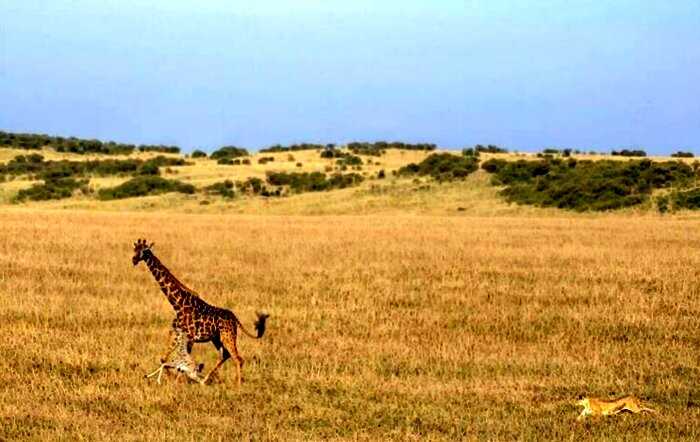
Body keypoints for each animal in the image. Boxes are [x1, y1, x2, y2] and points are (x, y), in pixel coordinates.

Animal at [133, 238, 270, 386]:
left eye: (144, 251)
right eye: (134, 249)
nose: (134, 260)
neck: (178, 303)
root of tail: (235, 319)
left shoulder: (189, 337)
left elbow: (181, 359)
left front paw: (178, 380)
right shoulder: (178, 334)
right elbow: (164, 358)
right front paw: (172, 378)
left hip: (228, 337)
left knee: (238, 358)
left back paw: (237, 385)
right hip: (217, 338)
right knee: (225, 355)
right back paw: (206, 379)